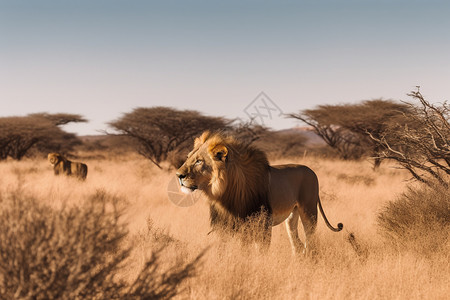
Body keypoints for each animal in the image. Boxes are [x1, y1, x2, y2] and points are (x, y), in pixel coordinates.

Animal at [176, 131, 342, 253]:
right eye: (188, 157)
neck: (224, 195)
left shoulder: (262, 224)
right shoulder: (225, 226)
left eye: (199, 161)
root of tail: (312, 171)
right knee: (297, 244)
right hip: (291, 217)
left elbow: (259, 252)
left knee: (309, 241)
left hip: (309, 211)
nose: (178, 175)